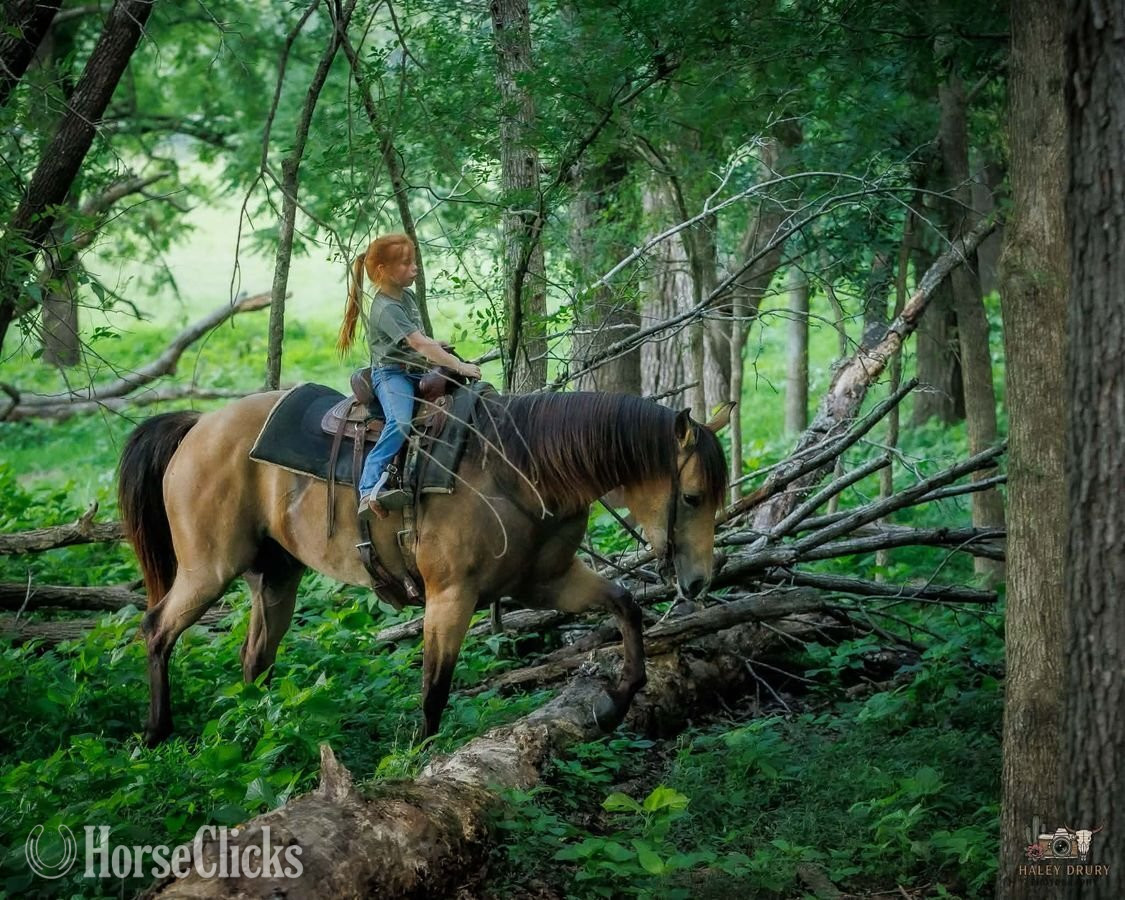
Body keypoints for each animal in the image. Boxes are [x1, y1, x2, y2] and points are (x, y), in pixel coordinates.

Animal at [117, 388, 731, 747]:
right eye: (693, 496)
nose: (700, 580)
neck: (521, 467)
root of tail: (199, 425)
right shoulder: (450, 597)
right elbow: (436, 685)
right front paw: (420, 758)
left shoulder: (549, 583)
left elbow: (625, 607)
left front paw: (617, 701)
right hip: (207, 570)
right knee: (156, 629)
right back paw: (155, 732)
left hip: (276, 578)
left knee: (255, 658)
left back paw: (258, 730)